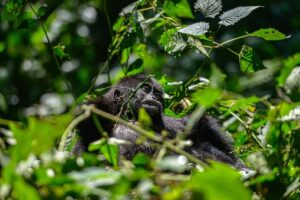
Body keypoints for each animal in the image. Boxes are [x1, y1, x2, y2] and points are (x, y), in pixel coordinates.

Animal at [73, 73, 246, 169]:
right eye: (145, 89)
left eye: (157, 93)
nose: (155, 98)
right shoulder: (97, 110)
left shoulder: (171, 122)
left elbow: (199, 125)